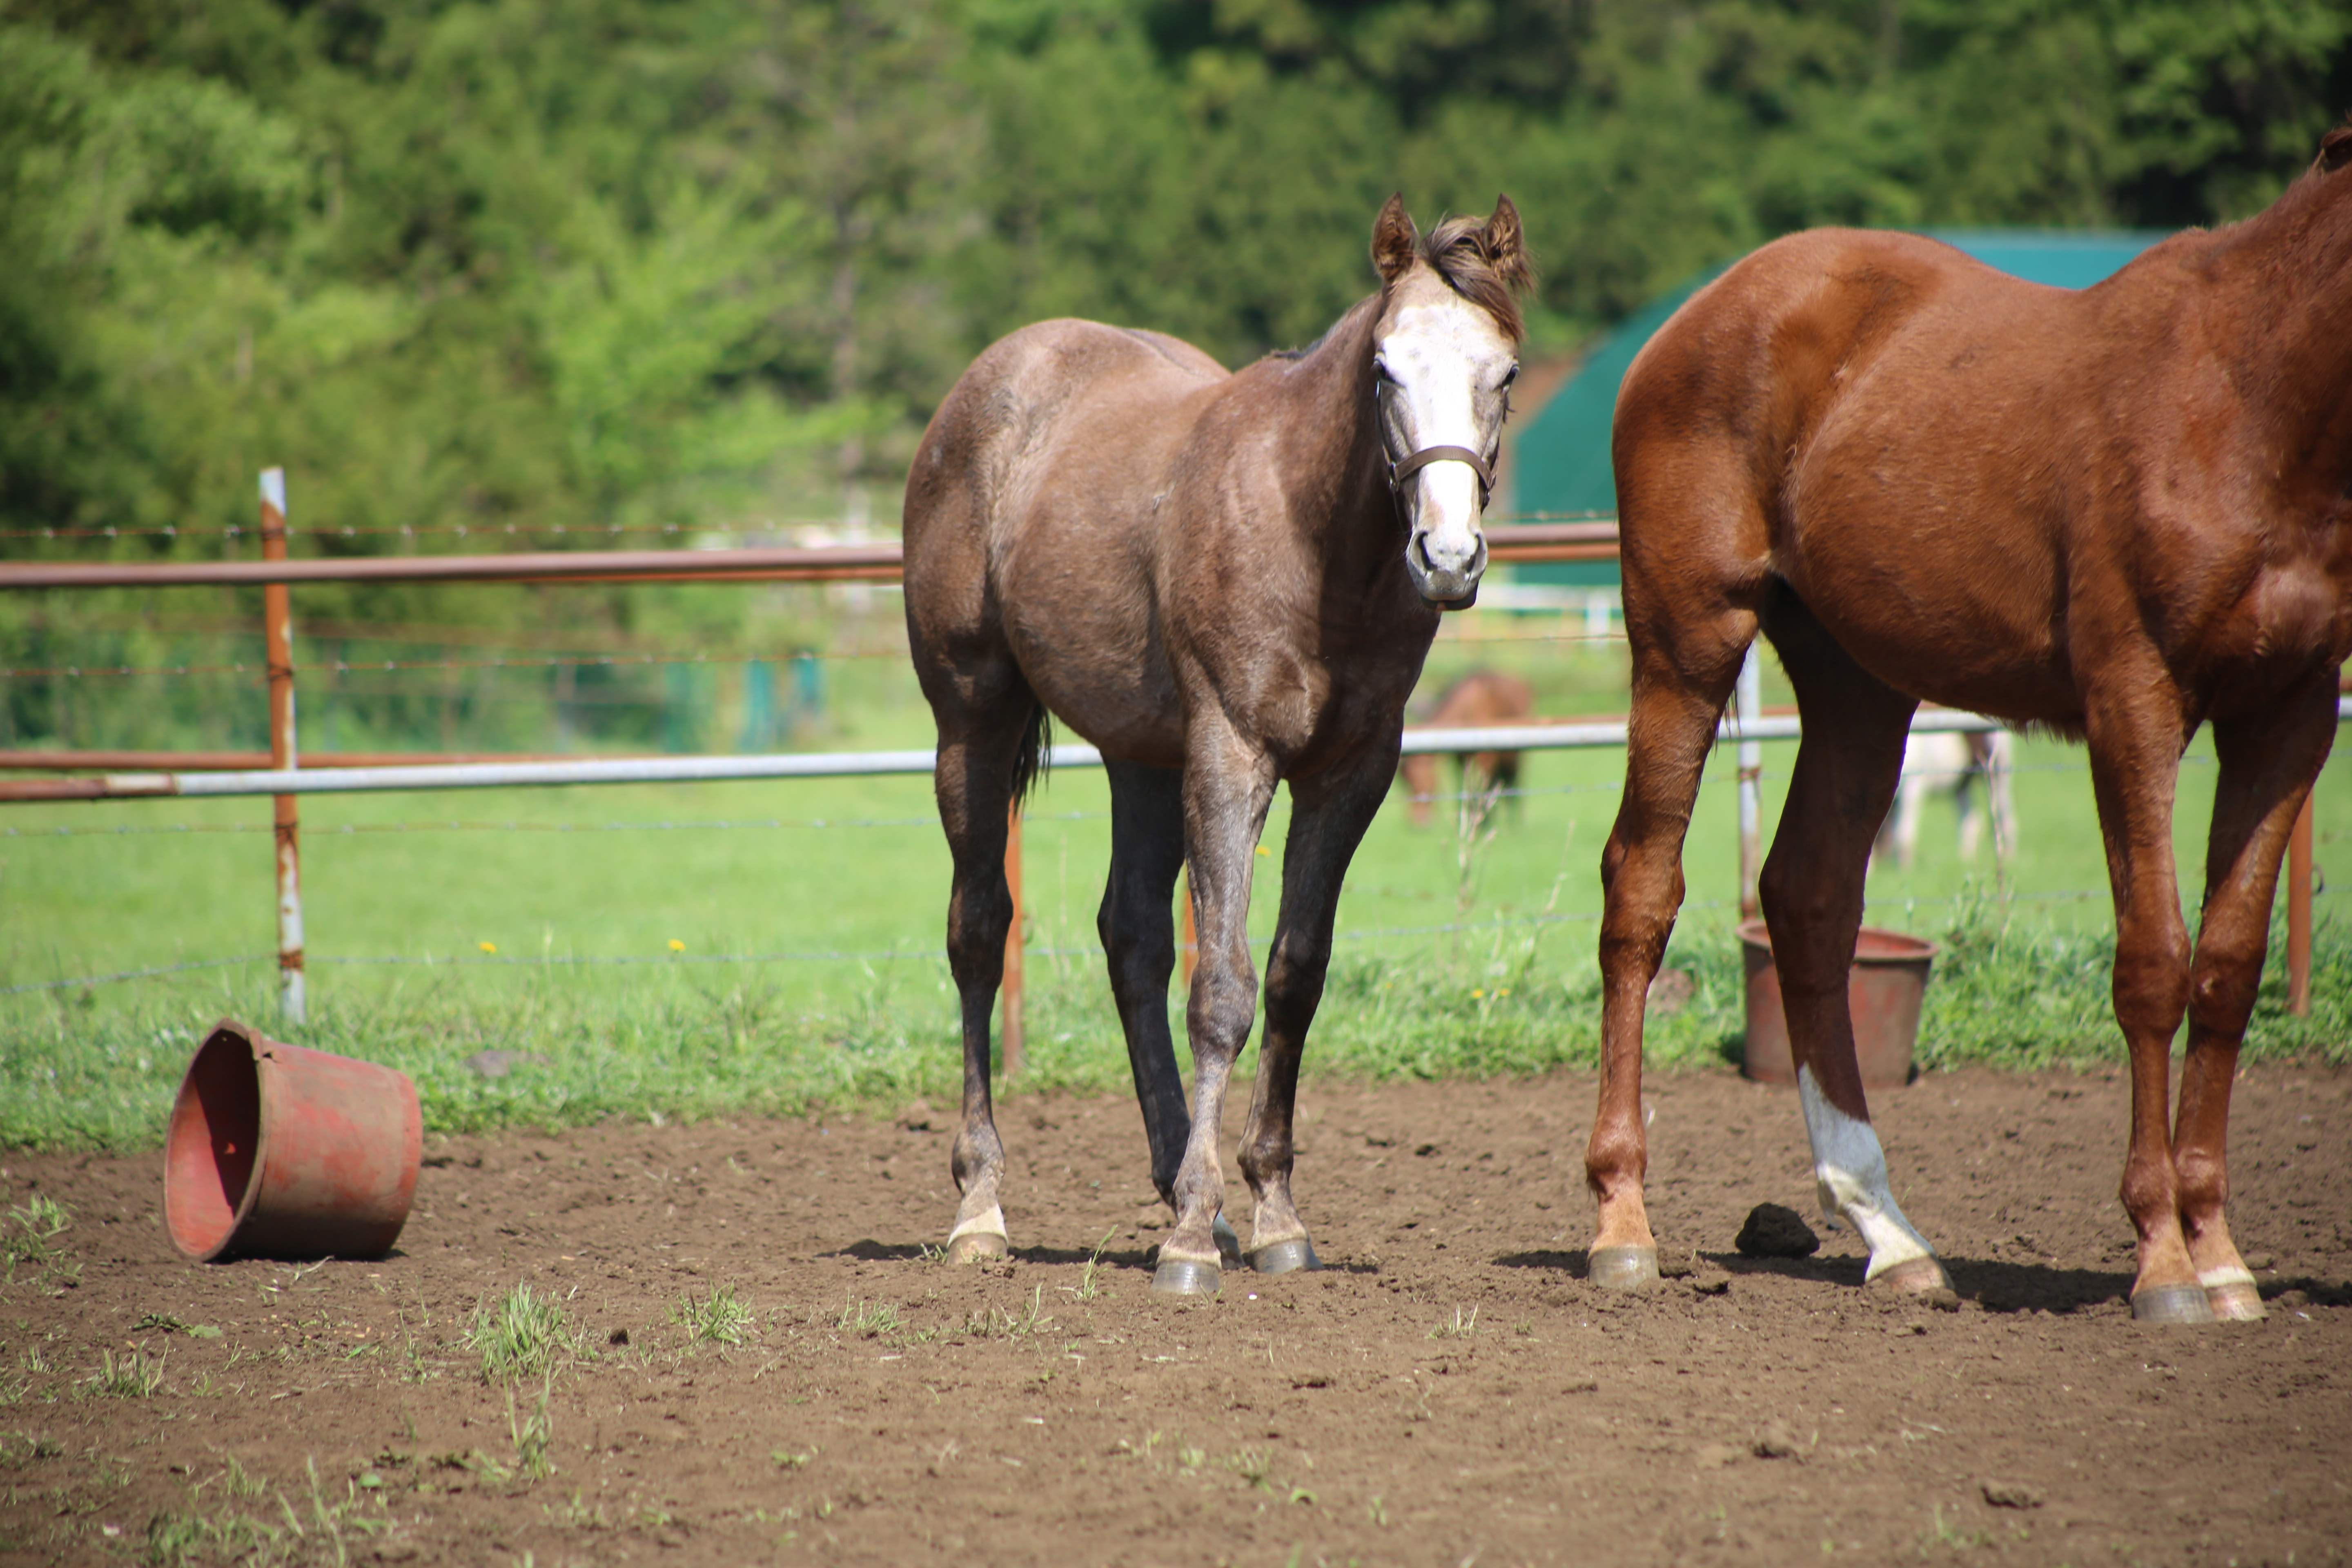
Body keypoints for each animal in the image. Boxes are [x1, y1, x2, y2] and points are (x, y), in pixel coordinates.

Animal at [1401, 668, 1533, 827]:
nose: (1418, 823)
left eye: (1416, 782)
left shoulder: (1486, 760)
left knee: (1511, 786)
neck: (1471, 707)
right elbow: (1465, 789)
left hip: (1512, 757)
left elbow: (1482, 790)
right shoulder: (1462, 760)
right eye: (1405, 784)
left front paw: (1481, 822)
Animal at [1872, 728, 2022, 879]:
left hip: (1998, 771)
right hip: (1963, 782)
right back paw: (1965, 860)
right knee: (1970, 821)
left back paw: (2007, 857)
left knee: (2003, 814)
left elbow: (1903, 833)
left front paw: (1904, 872)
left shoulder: (1913, 787)